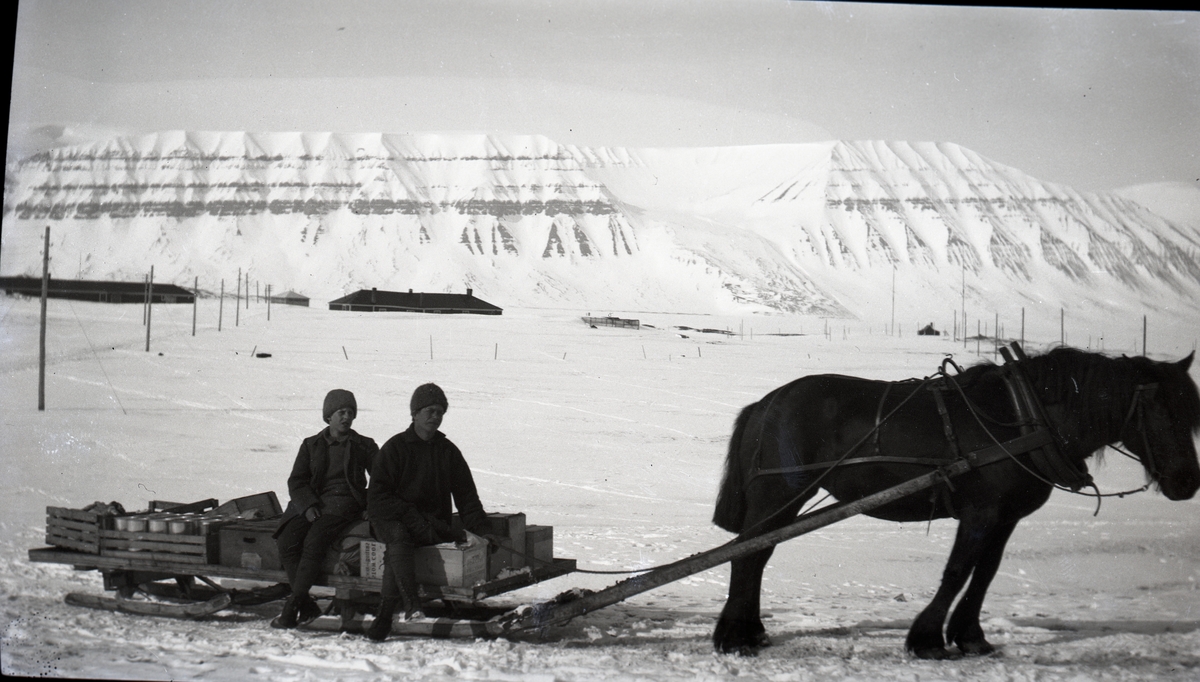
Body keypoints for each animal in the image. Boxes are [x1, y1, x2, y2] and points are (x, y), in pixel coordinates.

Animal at [715, 348, 1195, 657]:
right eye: (1163, 411)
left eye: (1190, 412)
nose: (1189, 482)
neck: (1025, 419)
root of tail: (766, 402)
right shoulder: (980, 512)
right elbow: (957, 571)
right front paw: (926, 639)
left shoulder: (1006, 517)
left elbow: (985, 574)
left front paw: (971, 637)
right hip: (780, 493)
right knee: (748, 555)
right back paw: (733, 636)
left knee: (756, 554)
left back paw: (750, 631)